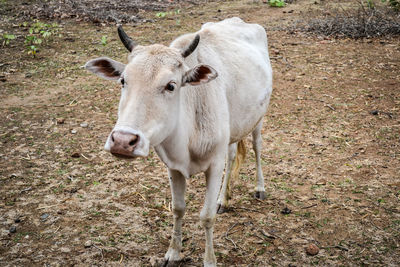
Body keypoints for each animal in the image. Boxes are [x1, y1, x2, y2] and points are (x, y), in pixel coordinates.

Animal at [84, 17, 272, 266]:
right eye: (123, 80)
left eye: (171, 85)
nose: (123, 141)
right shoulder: (172, 167)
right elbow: (178, 209)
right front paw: (173, 253)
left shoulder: (214, 165)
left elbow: (207, 217)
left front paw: (209, 260)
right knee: (232, 155)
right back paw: (223, 199)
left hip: (259, 118)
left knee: (257, 146)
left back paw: (259, 188)